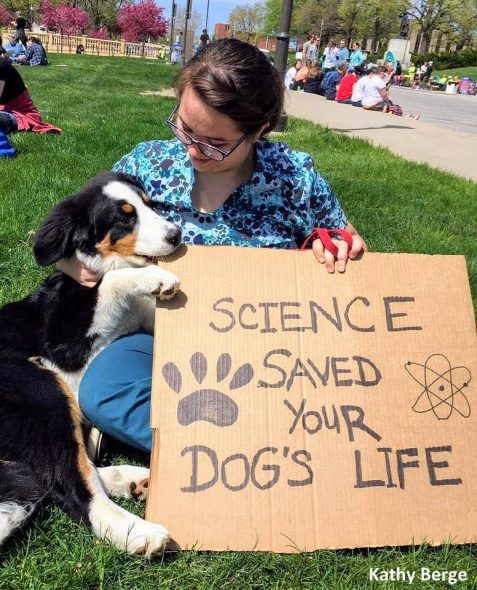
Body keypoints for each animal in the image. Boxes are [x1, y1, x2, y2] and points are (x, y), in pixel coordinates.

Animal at [0, 172, 181, 560]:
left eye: (148, 204)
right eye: (124, 217)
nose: (176, 234)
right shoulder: (67, 343)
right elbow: (112, 282)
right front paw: (156, 278)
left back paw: (133, 479)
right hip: (40, 389)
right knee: (68, 483)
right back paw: (139, 533)